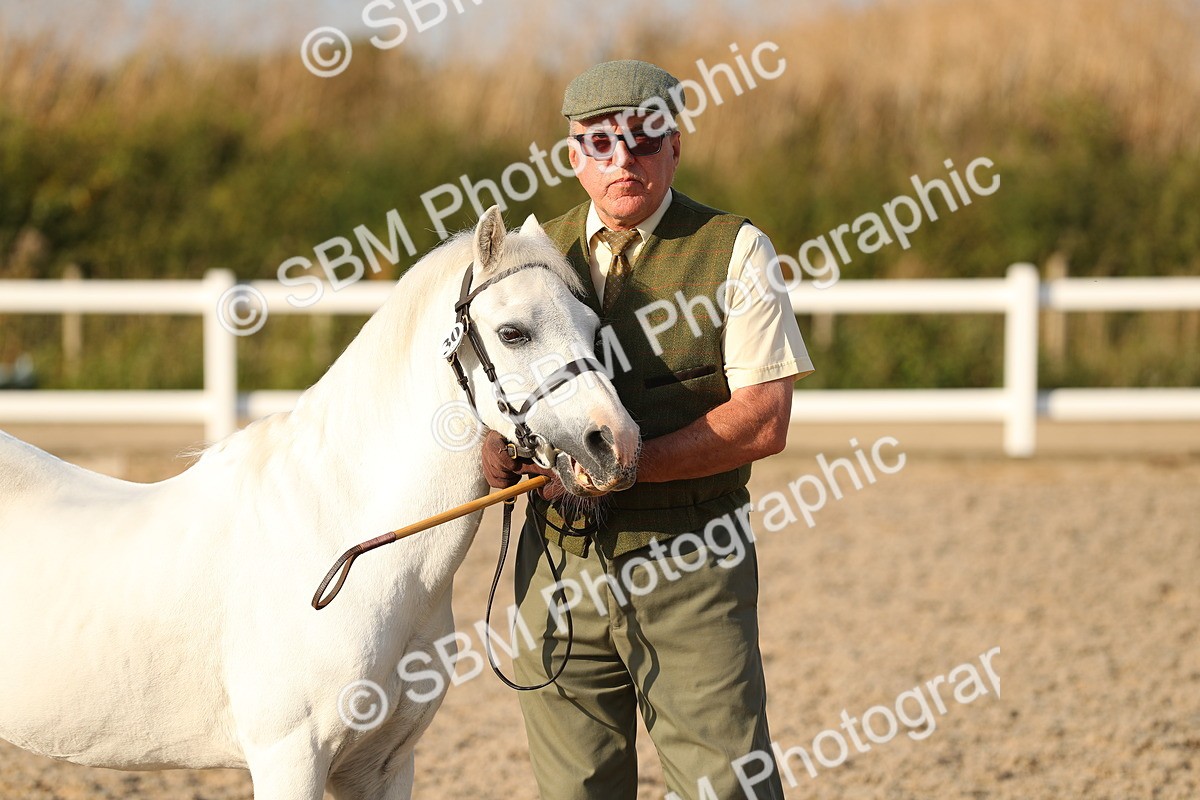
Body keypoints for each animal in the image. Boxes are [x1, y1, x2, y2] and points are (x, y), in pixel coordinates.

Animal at [0, 206, 640, 800]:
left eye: (593, 327)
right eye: (513, 332)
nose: (615, 441)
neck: (346, 545)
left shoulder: (384, 766)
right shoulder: (290, 758)